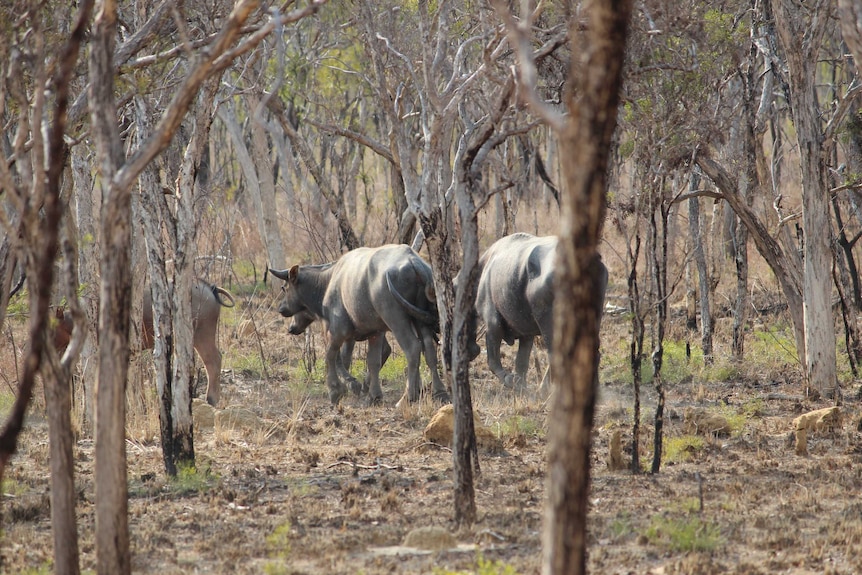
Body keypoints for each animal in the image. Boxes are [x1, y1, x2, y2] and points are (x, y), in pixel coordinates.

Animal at [268, 245, 446, 408]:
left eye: (284, 287)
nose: (282, 309)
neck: (328, 281)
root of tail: (413, 261)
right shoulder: (376, 332)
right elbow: (372, 361)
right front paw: (373, 395)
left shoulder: (338, 330)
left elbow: (331, 355)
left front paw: (337, 390)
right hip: (421, 318)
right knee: (429, 349)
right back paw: (439, 392)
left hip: (396, 319)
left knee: (413, 348)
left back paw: (407, 398)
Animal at [476, 233, 612, 392]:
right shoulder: (526, 334)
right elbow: (521, 362)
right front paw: (521, 386)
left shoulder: (492, 324)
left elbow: (493, 361)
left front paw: (510, 380)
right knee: (592, 351)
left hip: (550, 321)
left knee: (557, 355)